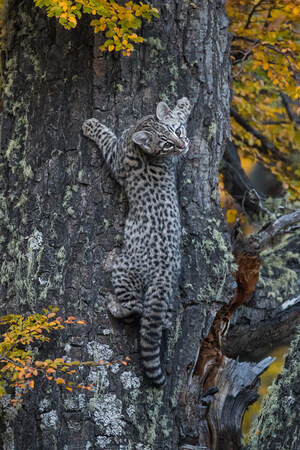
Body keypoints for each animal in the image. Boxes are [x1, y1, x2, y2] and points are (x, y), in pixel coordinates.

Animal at [82, 98, 190, 386]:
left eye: (176, 133)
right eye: (166, 143)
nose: (183, 145)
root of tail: (163, 272)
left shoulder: (116, 157)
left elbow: (106, 137)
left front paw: (92, 125)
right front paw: (183, 104)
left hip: (123, 270)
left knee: (136, 307)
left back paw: (113, 305)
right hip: (165, 294)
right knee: (160, 319)